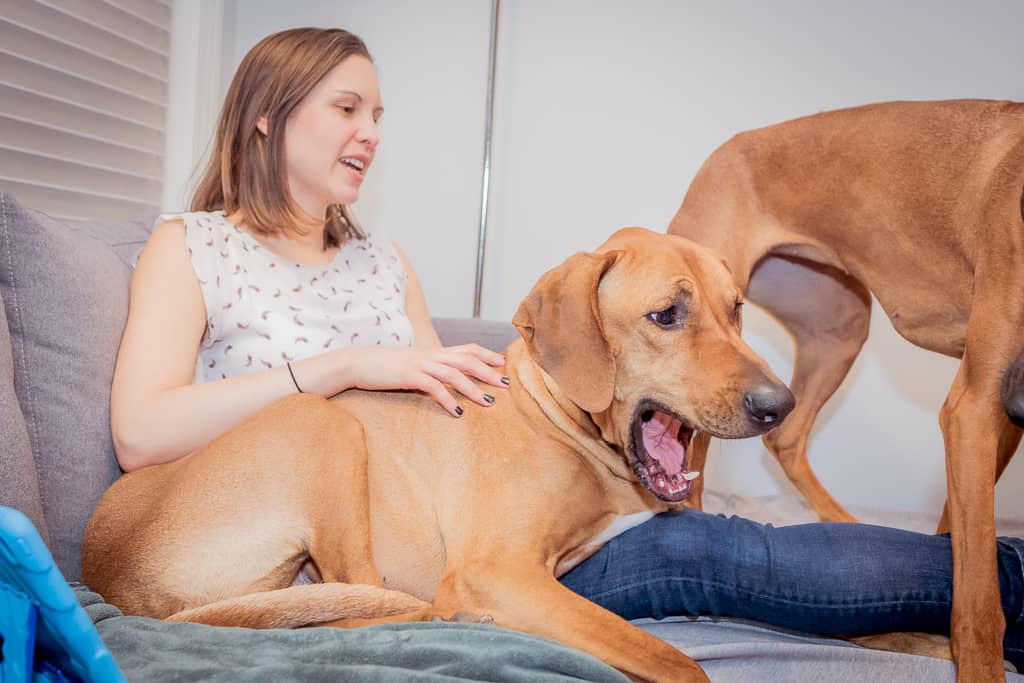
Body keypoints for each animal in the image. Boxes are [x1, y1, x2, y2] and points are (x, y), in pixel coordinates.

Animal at [83, 229, 794, 683]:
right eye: (666, 314)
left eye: (736, 310)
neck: (555, 413)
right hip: (321, 419)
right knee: (362, 606)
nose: (779, 405)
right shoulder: (495, 572)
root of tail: (106, 573)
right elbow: (674, 660)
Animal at [667, 98, 1024, 679]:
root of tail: (728, 148)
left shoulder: (994, 425)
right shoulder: (975, 407)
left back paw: (850, 533)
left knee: (785, 439)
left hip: (840, 326)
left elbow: (958, 542)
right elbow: (979, 600)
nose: (1021, 402)